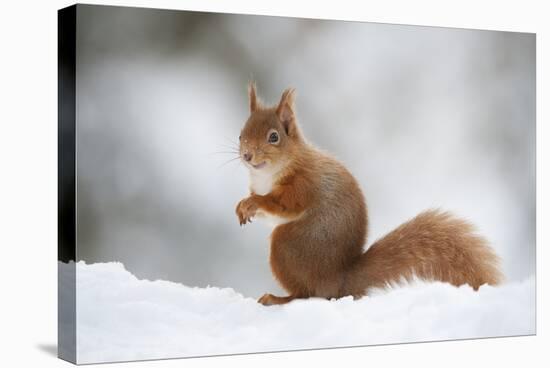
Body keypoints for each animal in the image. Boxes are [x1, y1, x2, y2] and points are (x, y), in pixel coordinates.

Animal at [235, 82, 502, 304]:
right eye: (240, 134)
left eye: (274, 137)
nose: (247, 155)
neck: (268, 174)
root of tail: (338, 282)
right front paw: (242, 207)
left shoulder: (304, 184)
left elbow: (284, 205)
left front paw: (254, 202)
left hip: (287, 246)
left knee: (306, 293)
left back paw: (279, 298)